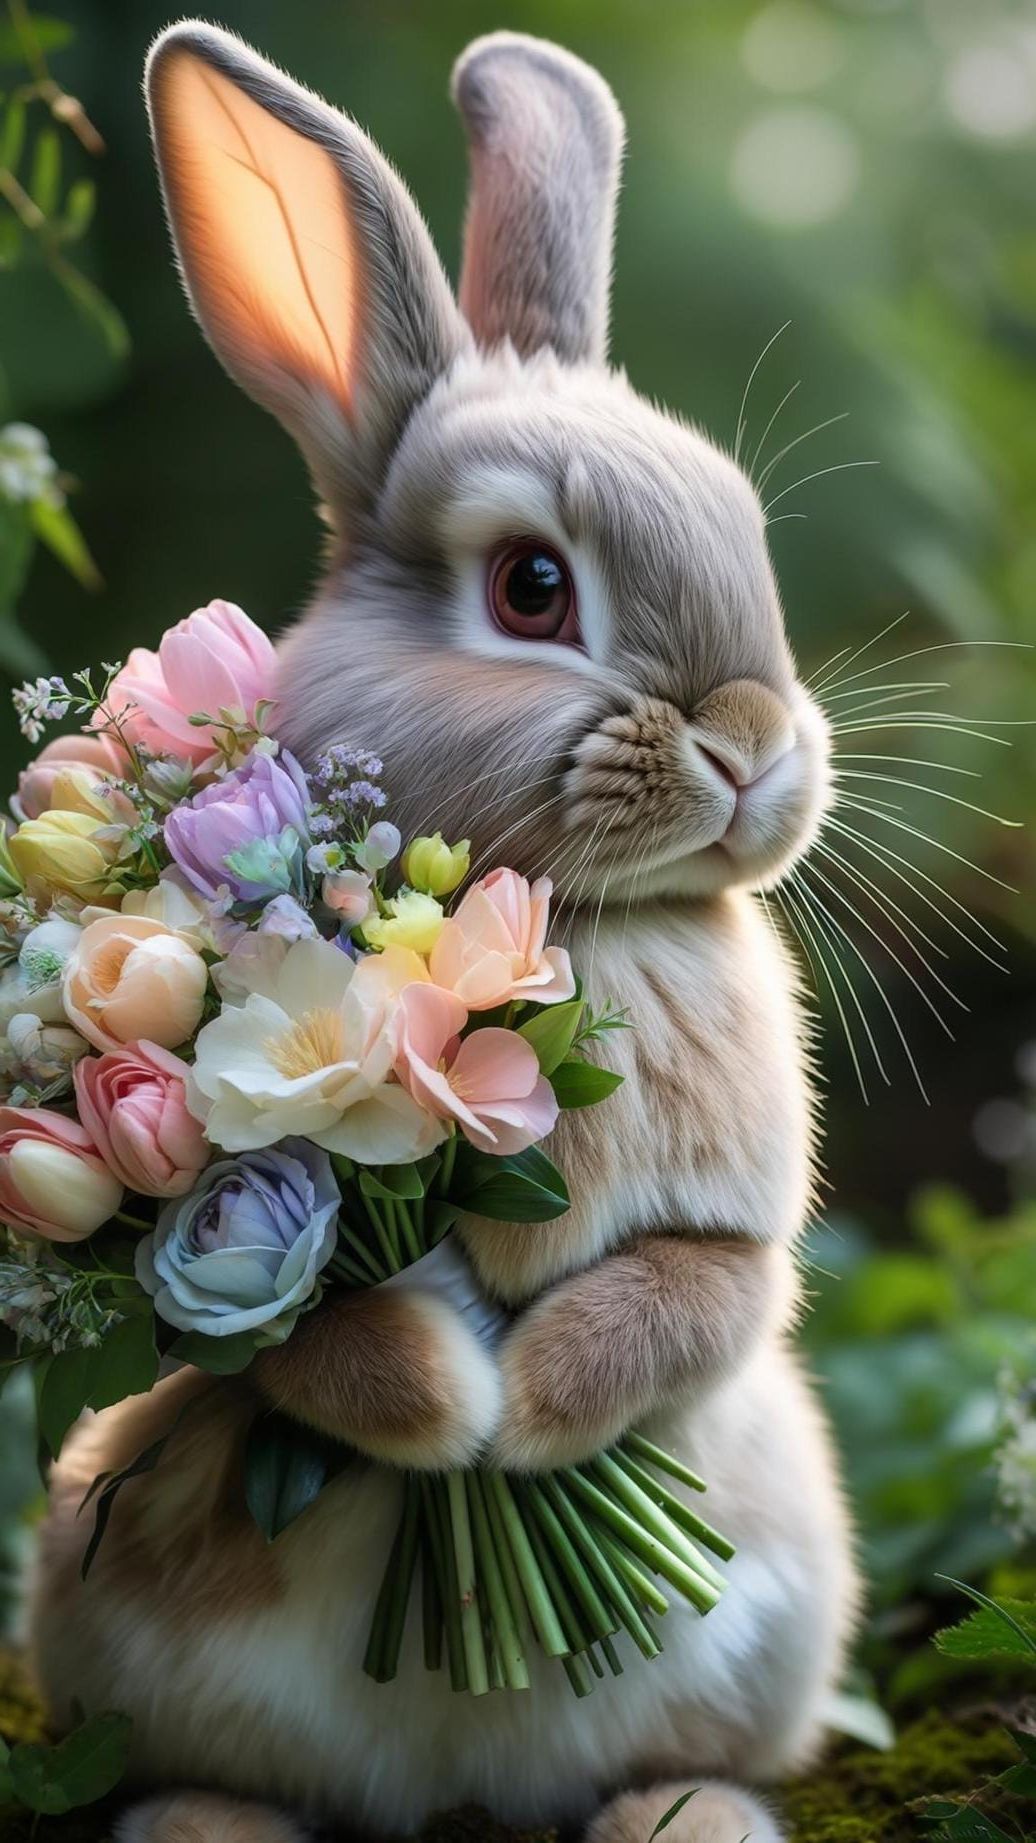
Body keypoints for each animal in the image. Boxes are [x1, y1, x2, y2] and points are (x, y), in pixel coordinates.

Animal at [29, 23, 859, 1843]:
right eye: (533, 588)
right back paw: (206, 1823)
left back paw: (688, 1808)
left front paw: (530, 1413)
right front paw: (464, 1402)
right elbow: (313, 1341)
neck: (588, 919)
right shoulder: (262, 1304)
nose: (755, 739)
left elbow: (691, 1296)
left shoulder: (732, 1242)